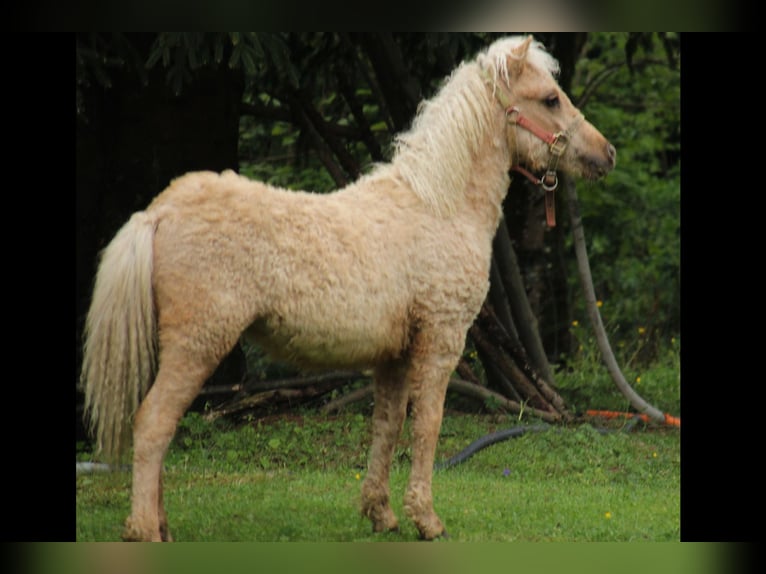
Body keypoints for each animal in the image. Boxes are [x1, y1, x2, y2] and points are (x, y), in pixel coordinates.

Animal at [79, 37, 616, 544]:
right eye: (549, 98)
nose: (605, 153)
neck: (437, 205)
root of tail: (158, 213)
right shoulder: (440, 341)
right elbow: (428, 424)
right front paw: (427, 519)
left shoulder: (394, 356)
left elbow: (388, 426)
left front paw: (382, 514)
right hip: (197, 344)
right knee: (153, 424)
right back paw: (144, 530)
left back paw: (162, 525)